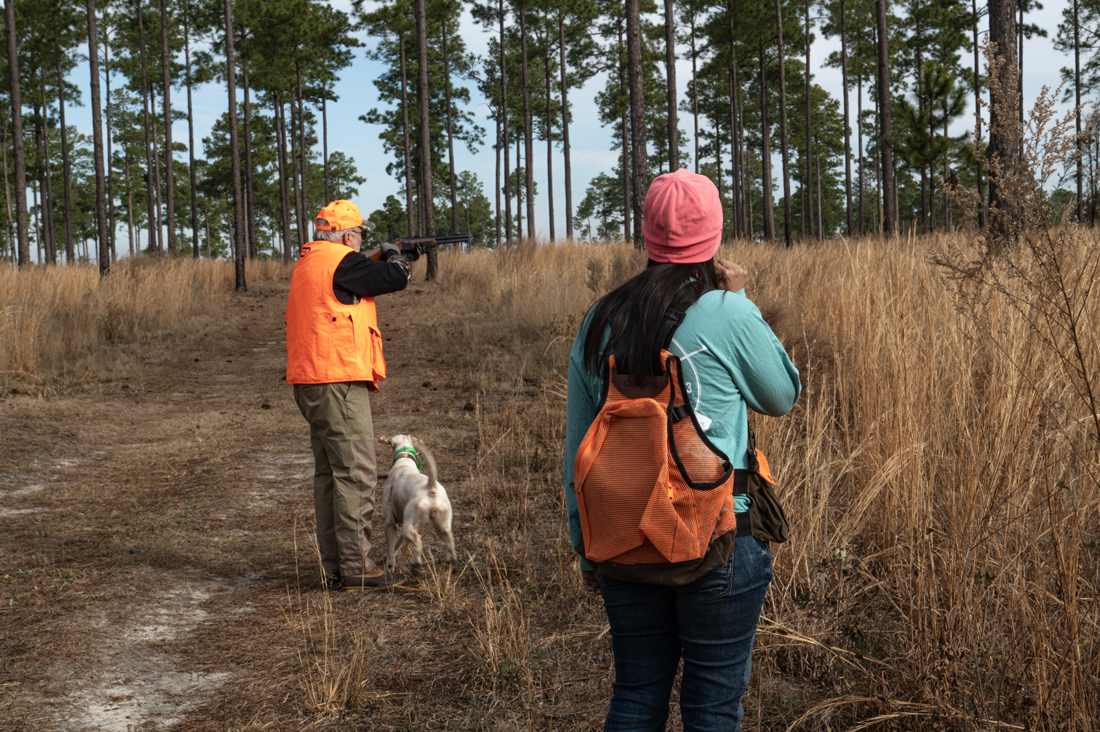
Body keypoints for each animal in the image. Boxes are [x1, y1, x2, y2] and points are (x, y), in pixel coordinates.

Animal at [378, 431, 455, 572]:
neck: (404, 461)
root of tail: (430, 487)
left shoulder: (390, 523)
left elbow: (391, 552)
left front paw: (388, 568)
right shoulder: (402, 523)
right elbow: (396, 546)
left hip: (409, 527)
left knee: (418, 540)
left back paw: (416, 564)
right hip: (441, 527)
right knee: (450, 540)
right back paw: (452, 562)